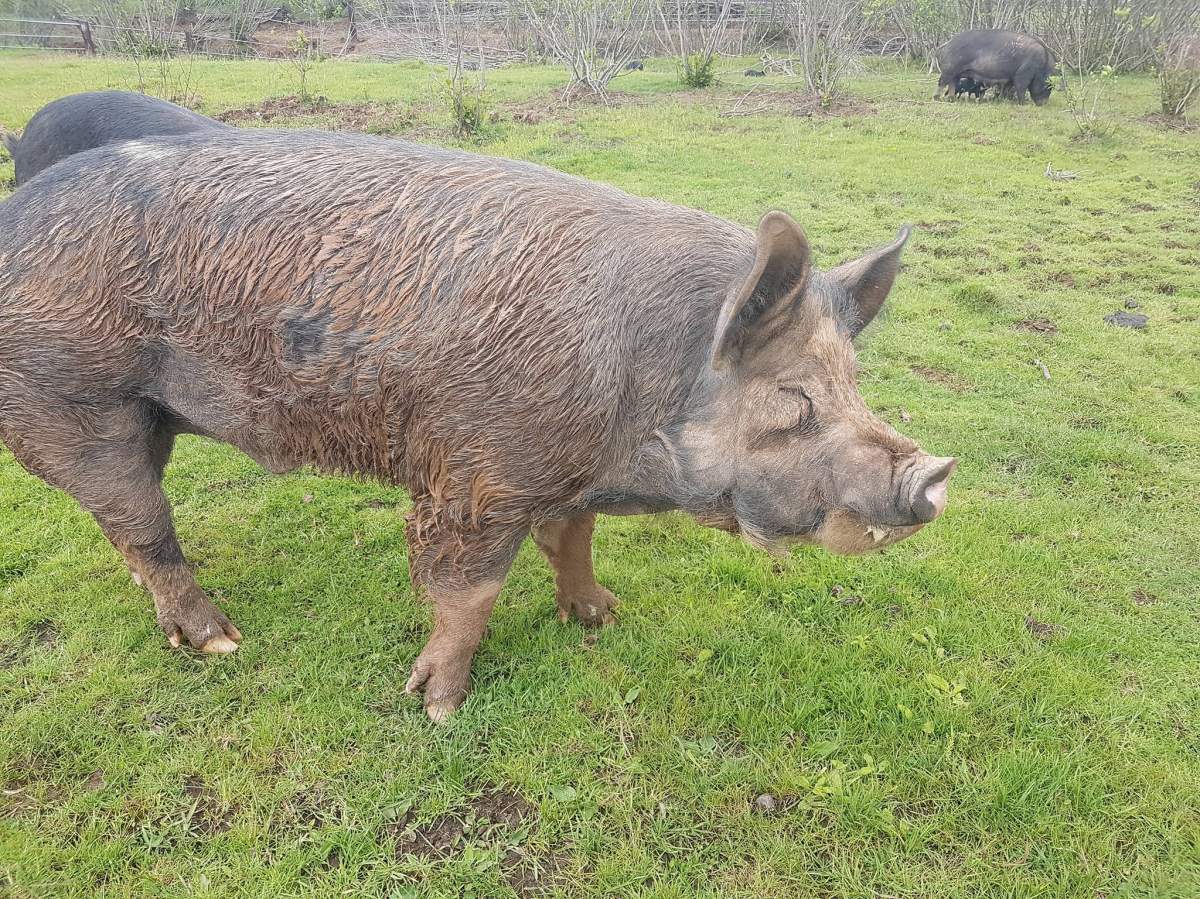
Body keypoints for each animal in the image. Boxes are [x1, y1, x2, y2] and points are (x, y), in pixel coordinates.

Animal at [0, 130, 956, 721]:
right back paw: (223, 643)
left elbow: (573, 540)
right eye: (794, 401)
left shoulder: (564, 471)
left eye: (856, 383)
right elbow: (468, 591)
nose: (934, 477)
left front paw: (603, 617)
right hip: (74, 399)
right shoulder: (478, 469)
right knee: (142, 522)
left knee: (127, 530)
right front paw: (437, 706)